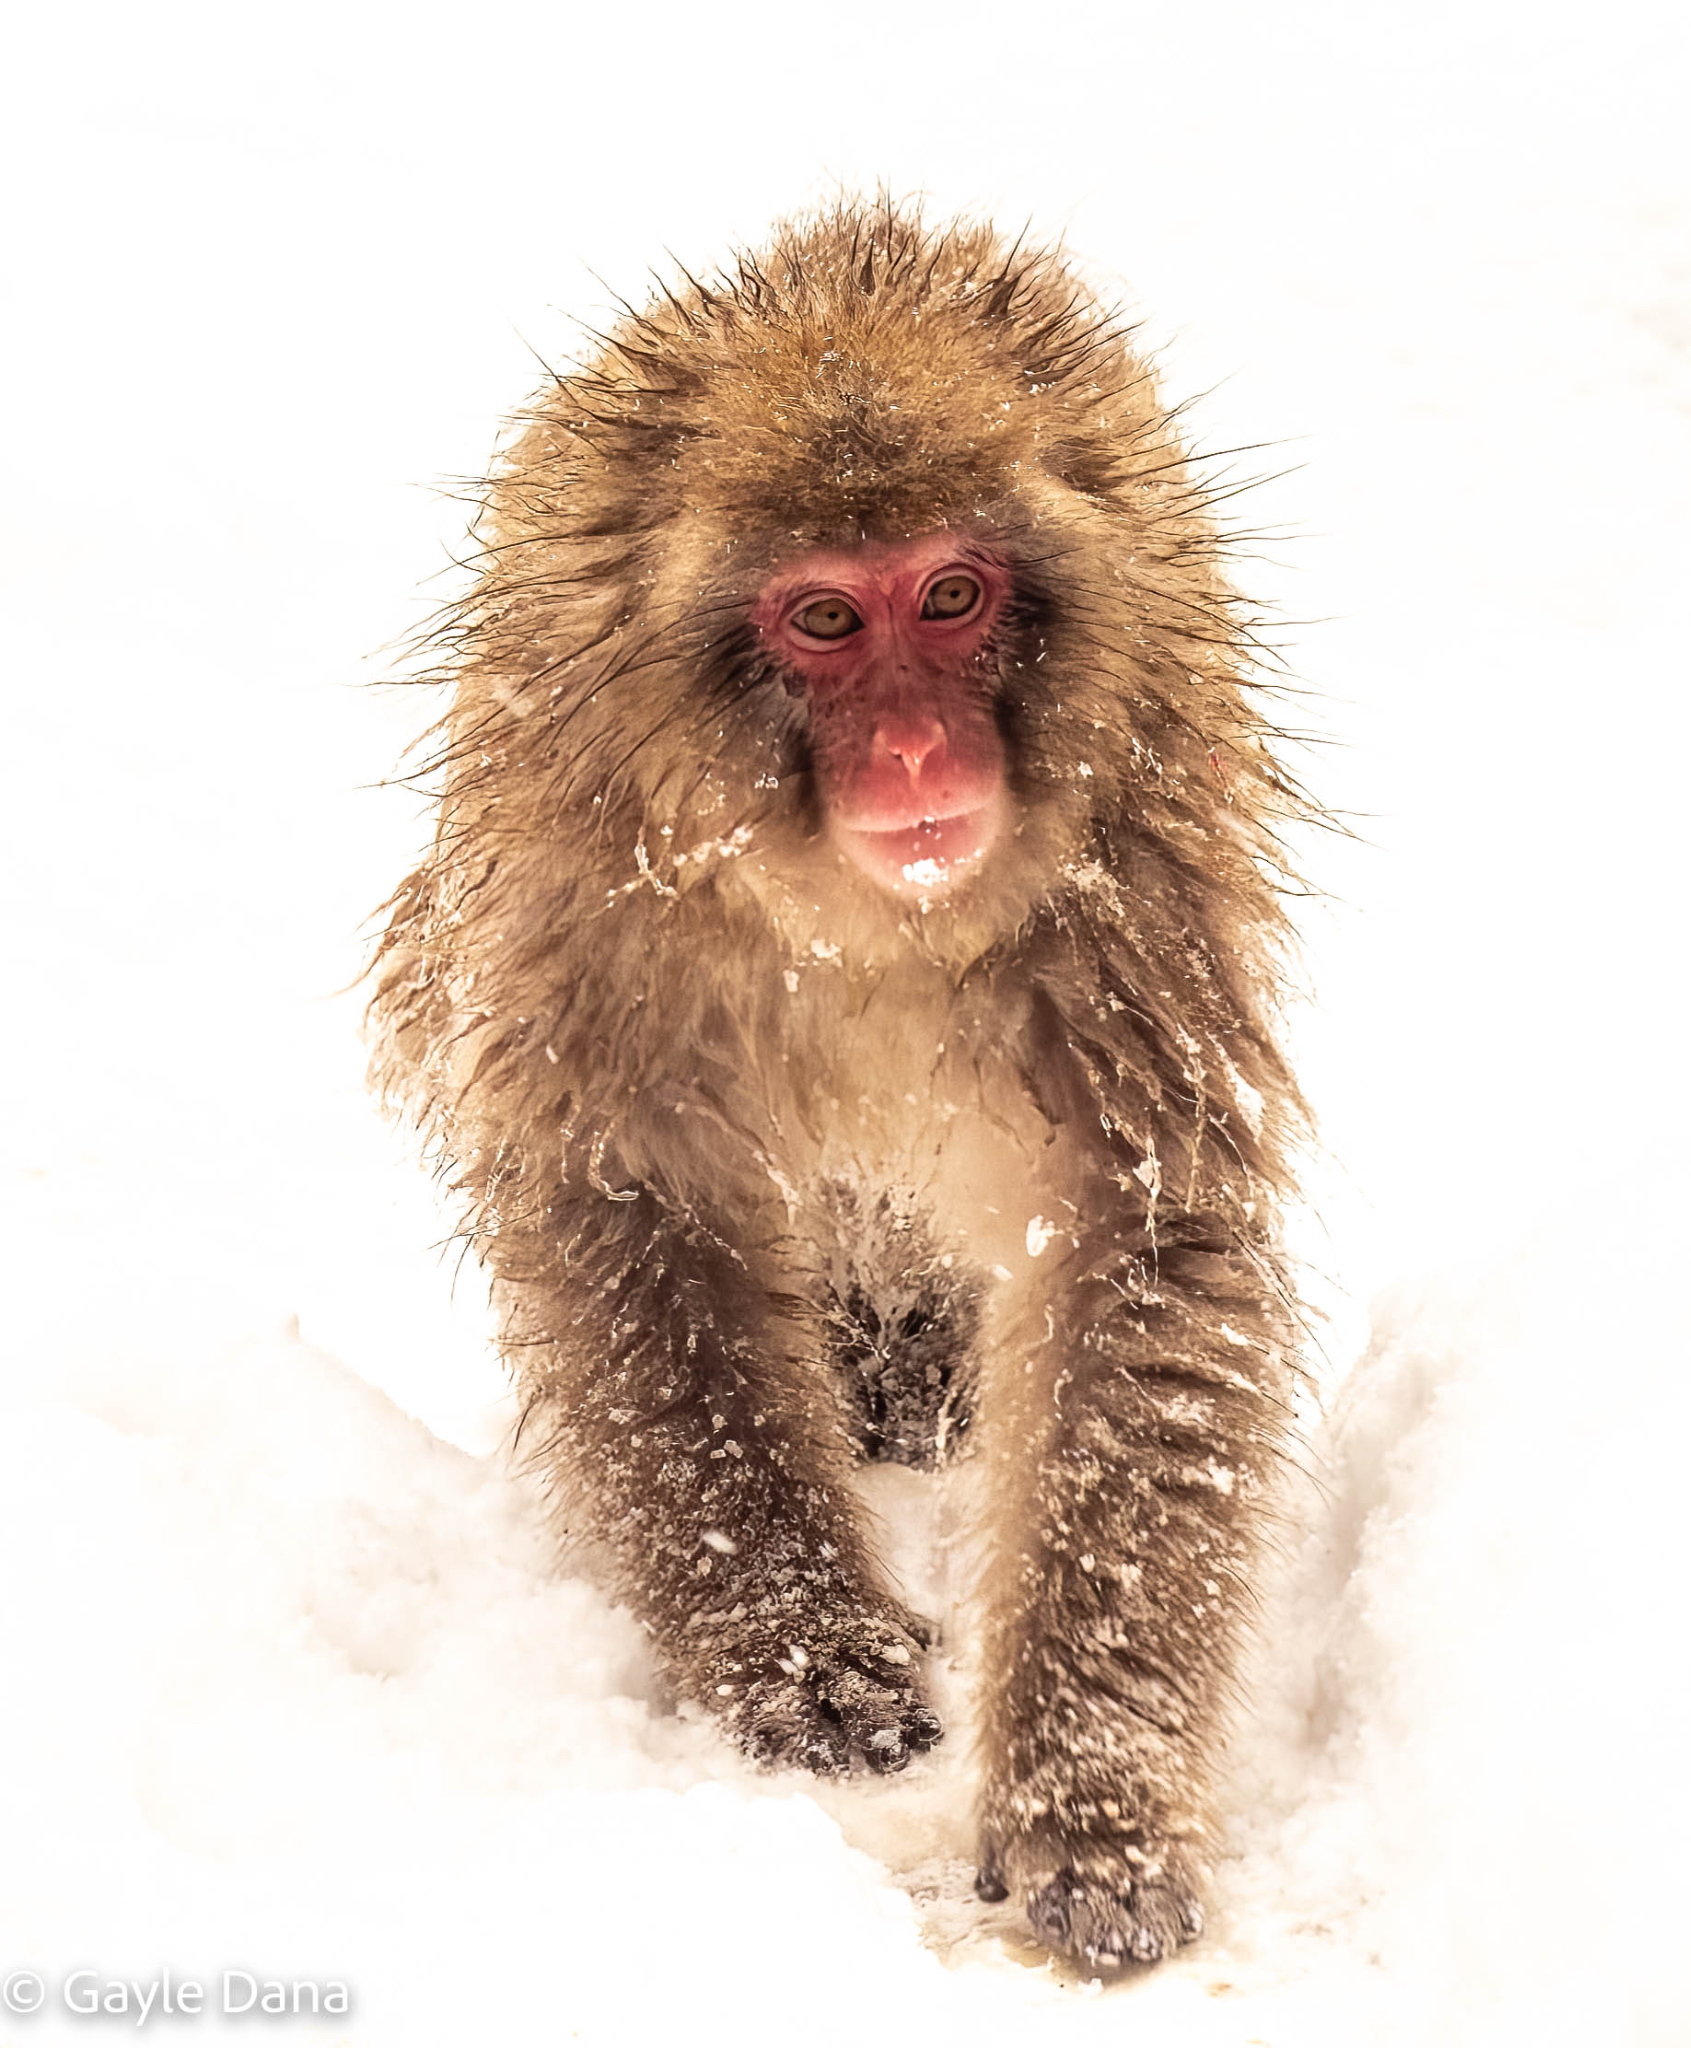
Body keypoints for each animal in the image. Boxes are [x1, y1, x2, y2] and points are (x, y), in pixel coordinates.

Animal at [368, 197, 1315, 1970]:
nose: (919, 756)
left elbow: (1127, 1231)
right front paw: (804, 1655)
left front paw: (1089, 1796)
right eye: (824, 620)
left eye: (946, 595)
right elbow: (632, 1207)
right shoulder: (581, 866)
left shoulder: (1130, 861)